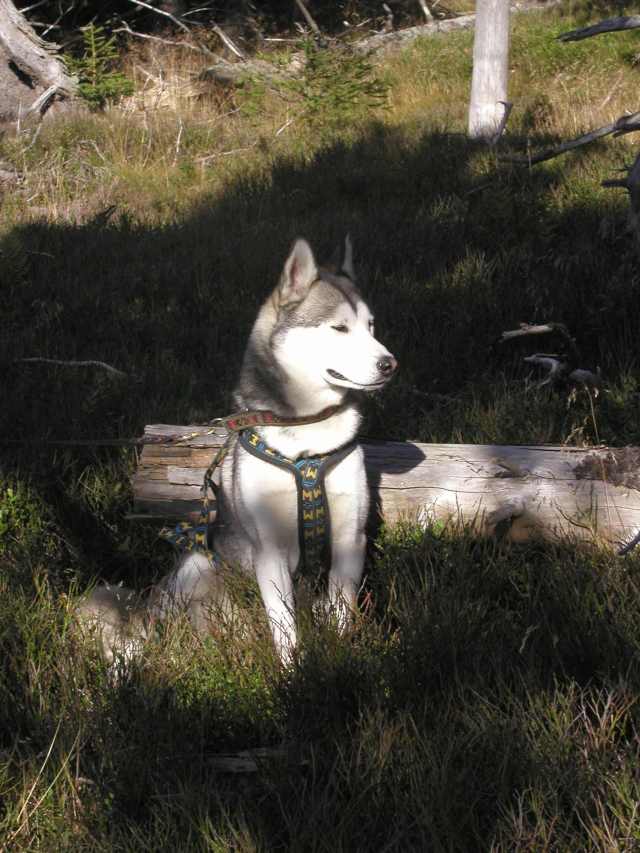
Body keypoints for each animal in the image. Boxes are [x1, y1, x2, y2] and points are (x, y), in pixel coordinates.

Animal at [78, 237, 397, 663]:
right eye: (340, 328)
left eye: (371, 326)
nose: (389, 364)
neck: (306, 440)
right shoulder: (269, 550)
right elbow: (283, 626)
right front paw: (294, 672)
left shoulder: (350, 537)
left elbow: (341, 608)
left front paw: (343, 656)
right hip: (196, 565)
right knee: (141, 639)